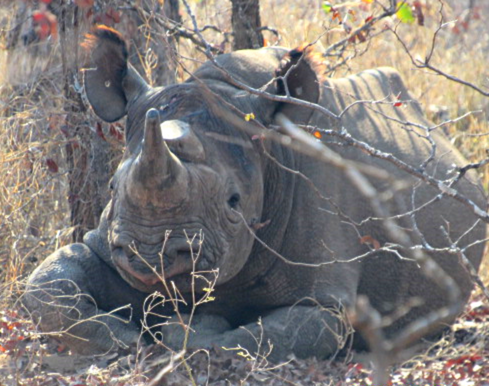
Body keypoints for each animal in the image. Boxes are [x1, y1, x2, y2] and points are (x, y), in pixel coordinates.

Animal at [24, 27, 486, 362]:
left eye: (234, 202)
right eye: (112, 188)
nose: (151, 255)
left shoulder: (323, 299)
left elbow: (262, 336)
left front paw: (186, 329)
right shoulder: (103, 244)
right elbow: (47, 286)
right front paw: (125, 335)